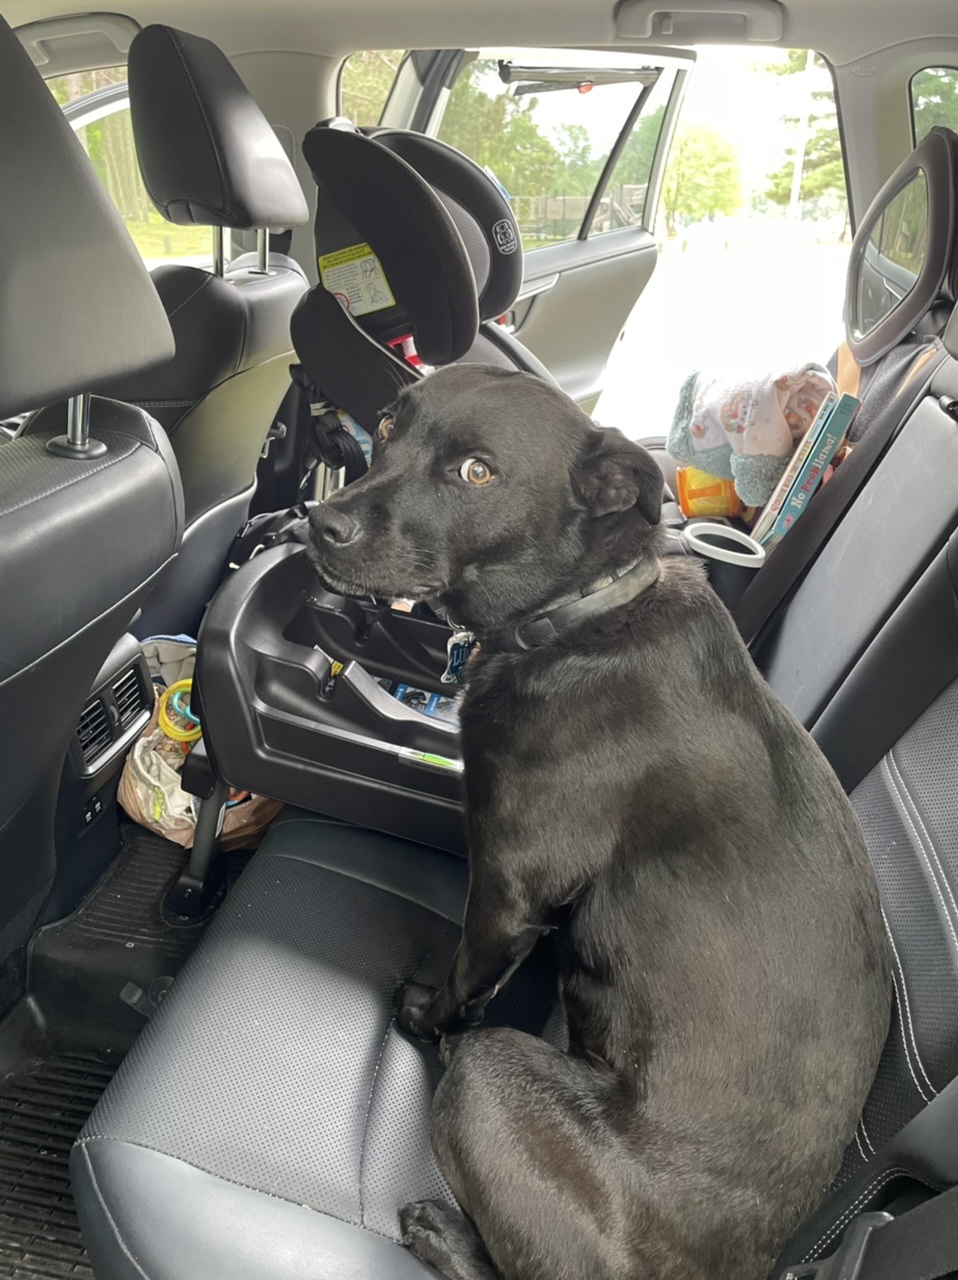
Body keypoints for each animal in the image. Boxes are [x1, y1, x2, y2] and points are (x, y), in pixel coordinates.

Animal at [311, 363, 896, 1280]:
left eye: (476, 472)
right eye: (388, 424)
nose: (318, 523)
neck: (580, 615)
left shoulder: (508, 893)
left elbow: (466, 980)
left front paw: (421, 1014)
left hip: (494, 1071)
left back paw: (439, 1230)